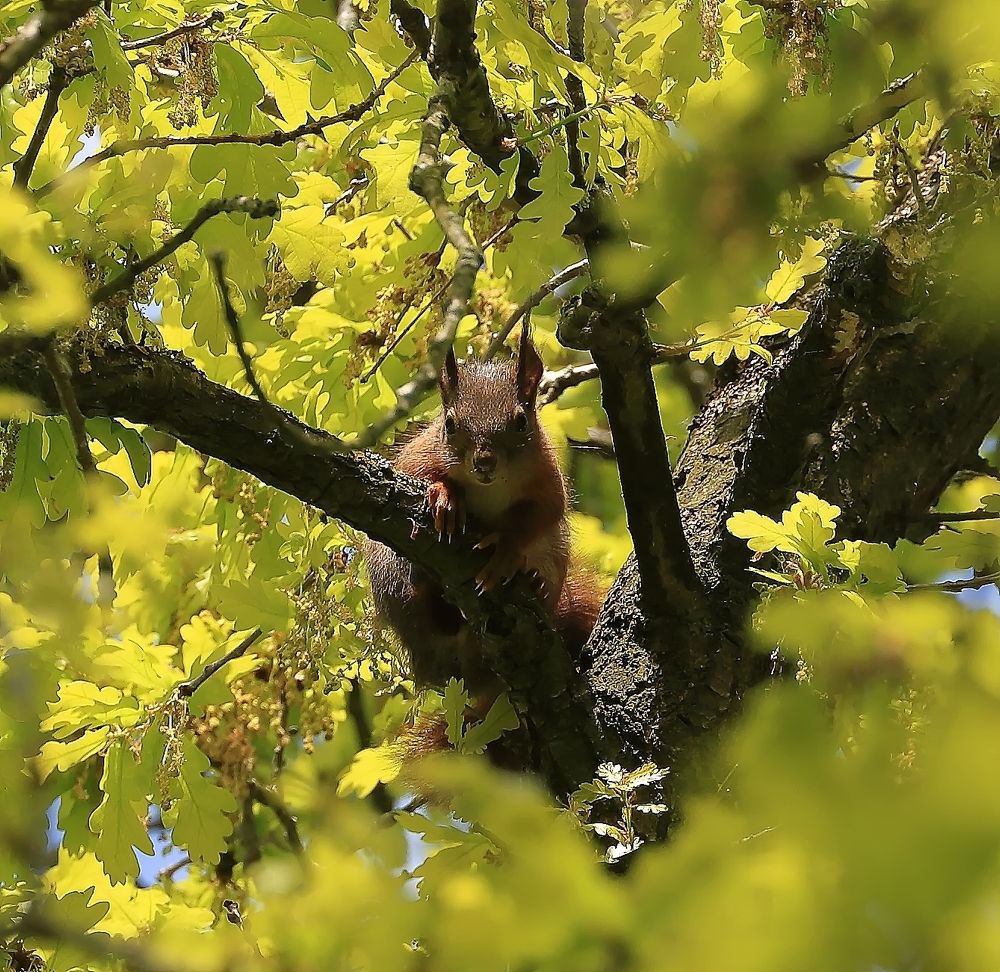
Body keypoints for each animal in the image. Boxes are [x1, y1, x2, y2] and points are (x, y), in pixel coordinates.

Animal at [364, 325, 604, 696]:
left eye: (521, 421)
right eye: (449, 424)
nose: (485, 462)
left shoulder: (547, 480)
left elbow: (544, 513)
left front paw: (505, 546)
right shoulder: (419, 455)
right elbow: (419, 474)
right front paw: (445, 498)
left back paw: (535, 582)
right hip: (390, 573)